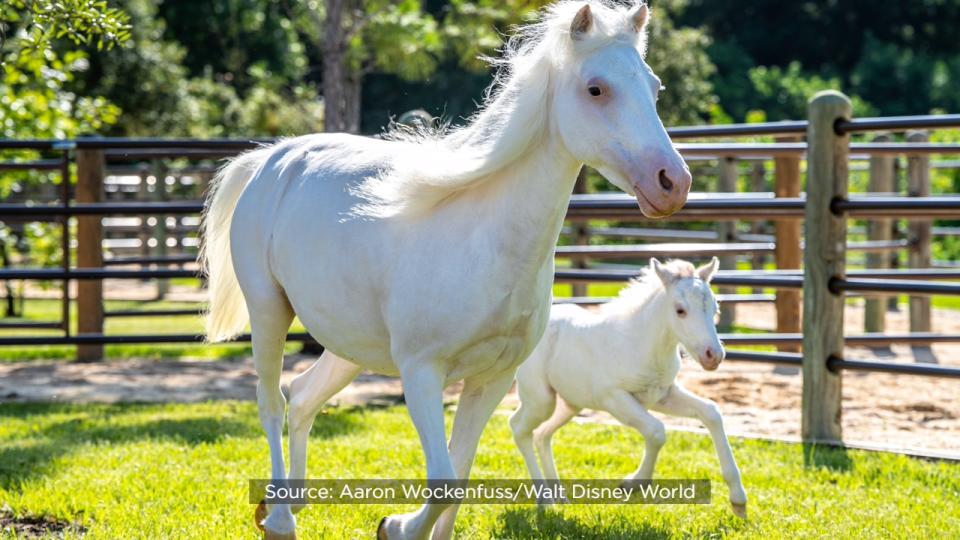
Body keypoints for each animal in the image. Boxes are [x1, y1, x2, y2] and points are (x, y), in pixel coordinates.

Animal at [506, 258, 748, 520]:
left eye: (714, 308)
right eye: (680, 310)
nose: (713, 356)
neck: (639, 344)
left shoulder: (663, 395)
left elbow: (711, 412)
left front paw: (738, 501)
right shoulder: (614, 398)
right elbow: (656, 431)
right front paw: (632, 484)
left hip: (570, 404)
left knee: (542, 435)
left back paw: (560, 497)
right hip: (541, 400)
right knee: (518, 427)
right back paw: (545, 501)